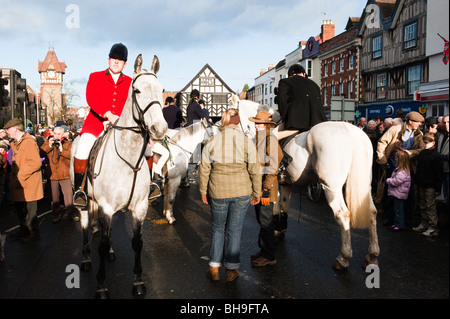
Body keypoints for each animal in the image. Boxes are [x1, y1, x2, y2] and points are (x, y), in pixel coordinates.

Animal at [69, 55, 168, 300]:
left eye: (161, 89)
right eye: (138, 90)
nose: (160, 128)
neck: (128, 157)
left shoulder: (139, 207)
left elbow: (137, 243)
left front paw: (138, 282)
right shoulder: (105, 206)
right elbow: (101, 245)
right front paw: (101, 286)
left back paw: (112, 252)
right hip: (85, 201)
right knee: (85, 226)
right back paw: (86, 259)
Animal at [232, 97, 380, 270]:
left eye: (232, 113)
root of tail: (351, 130)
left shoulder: (274, 183)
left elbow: (275, 206)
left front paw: (274, 231)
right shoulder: (286, 183)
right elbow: (284, 205)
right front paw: (280, 229)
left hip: (332, 187)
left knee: (343, 215)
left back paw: (343, 257)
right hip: (364, 186)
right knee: (372, 212)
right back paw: (372, 255)